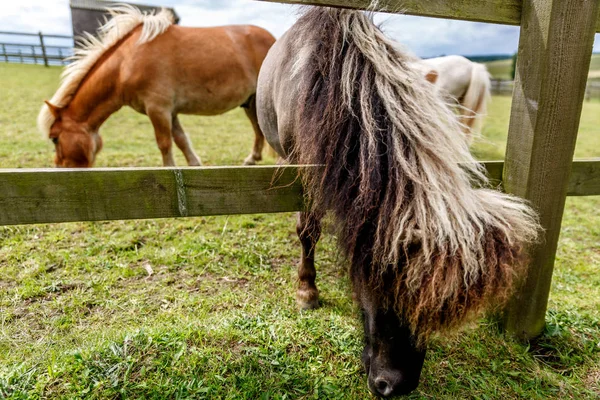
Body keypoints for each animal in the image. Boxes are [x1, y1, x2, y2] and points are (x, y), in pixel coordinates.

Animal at [38, 6, 278, 169]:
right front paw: (194, 165)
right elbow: (181, 140)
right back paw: (252, 158)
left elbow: (164, 143)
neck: (126, 63)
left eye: (54, 138)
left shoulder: (158, 109)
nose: (60, 167)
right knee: (258, 129)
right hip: (250, 102)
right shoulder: (170, 112)